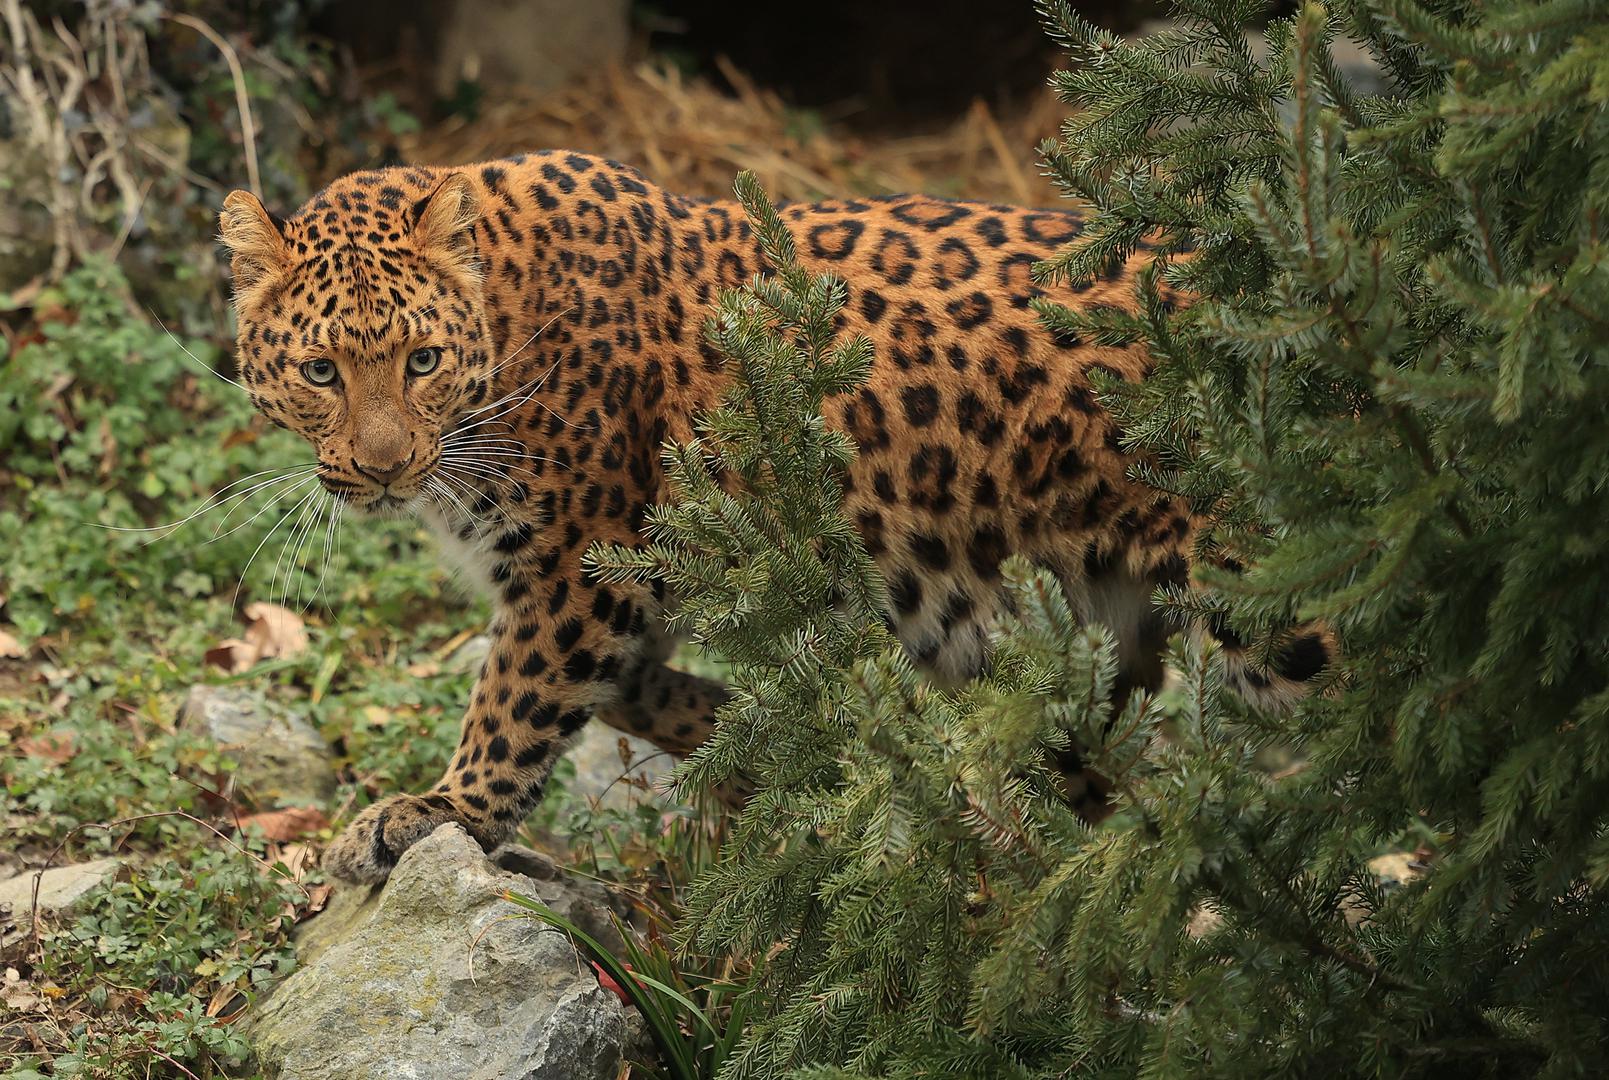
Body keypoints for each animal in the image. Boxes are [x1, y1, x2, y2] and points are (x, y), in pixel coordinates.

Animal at [220, 148, 1338, 882]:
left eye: (420, 360)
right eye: (320, 372)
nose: (382, 467)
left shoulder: (580, 562)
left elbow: (516, 703)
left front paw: (439, 811)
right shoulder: (628, 577)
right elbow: (626, 696)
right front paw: (758, 743)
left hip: (1270, 601)